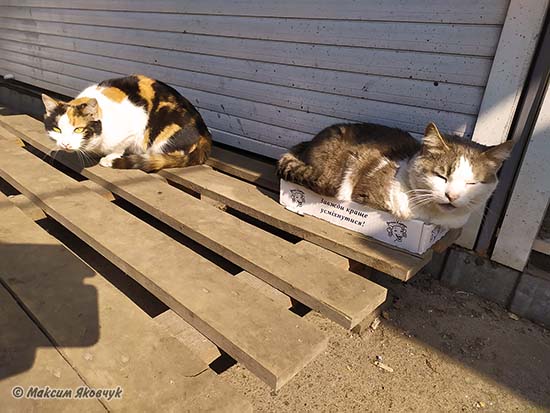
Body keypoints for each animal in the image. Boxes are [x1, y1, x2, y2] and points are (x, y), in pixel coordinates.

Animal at [41, 74, 212, 171]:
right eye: (57, 129)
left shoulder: (137, 123)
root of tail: (205, 132)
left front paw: (110, 158)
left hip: (165, 132)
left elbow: (120, 146)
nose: (65, 144)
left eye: (78, 129)